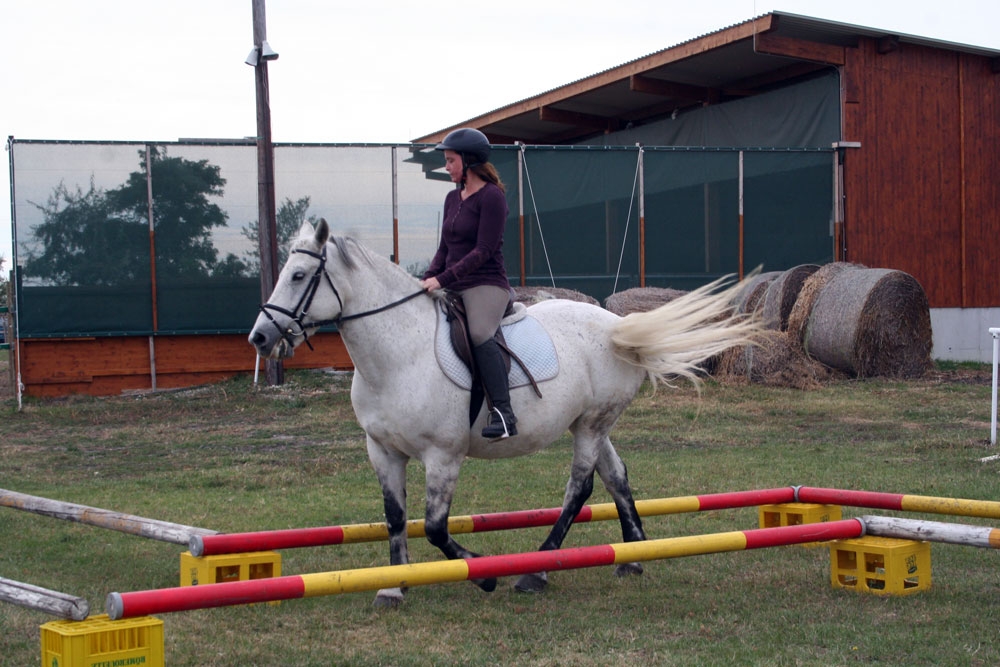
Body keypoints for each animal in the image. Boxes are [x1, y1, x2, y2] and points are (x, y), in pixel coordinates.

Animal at [248, 222, 756, 608]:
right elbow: (396, 518)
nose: (259, 337)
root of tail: (617, 325)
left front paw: (483, 574)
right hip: (592, 422)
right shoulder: (383, 451)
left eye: (298, 275)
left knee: (581, 487)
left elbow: (435, 527)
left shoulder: (443, 455)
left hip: (593, 424)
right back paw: (631, 557)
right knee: (616, 476)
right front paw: (393, 587)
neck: (399, 354)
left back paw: (537, 571)